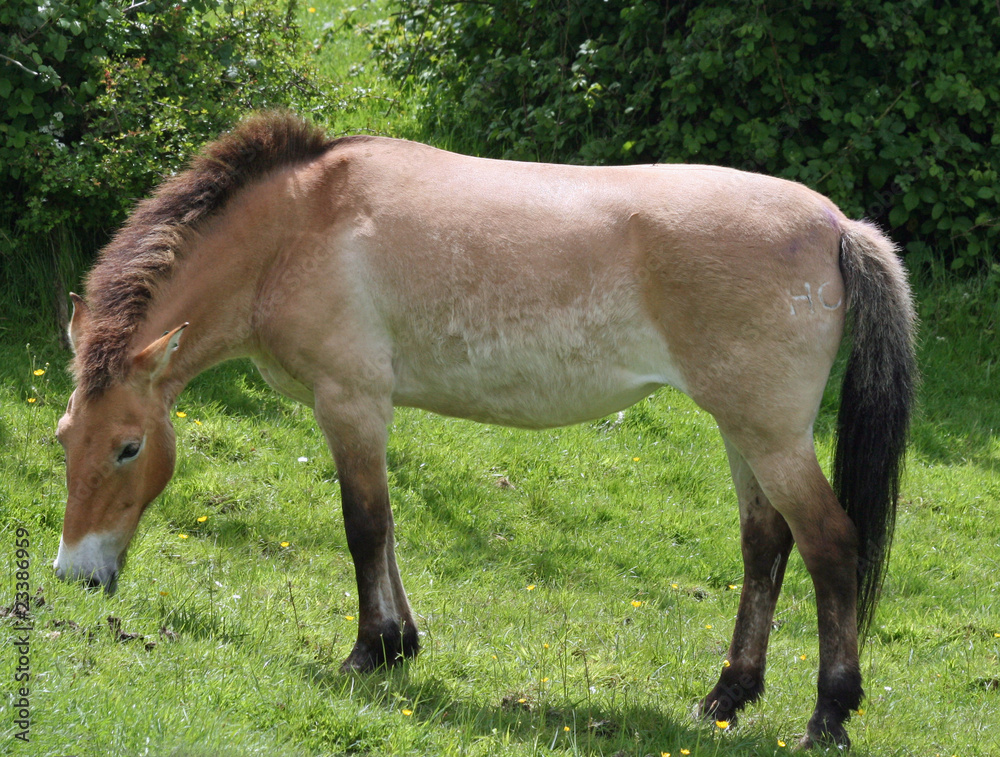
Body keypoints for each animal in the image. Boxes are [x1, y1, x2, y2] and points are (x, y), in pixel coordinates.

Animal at [53, 111, 915, 748]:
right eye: (64, 437)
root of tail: (837, 224)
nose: (75, 573)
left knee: (830, 544)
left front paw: (368, 650)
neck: (296, 228)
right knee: (765, 543)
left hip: (769, 434)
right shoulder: (369, 408)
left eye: (129, 445)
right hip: (743, 430)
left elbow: (364, 527)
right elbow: (389, 532)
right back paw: (727, 696)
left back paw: (828, 714)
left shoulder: (350, 401)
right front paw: (401, 642)